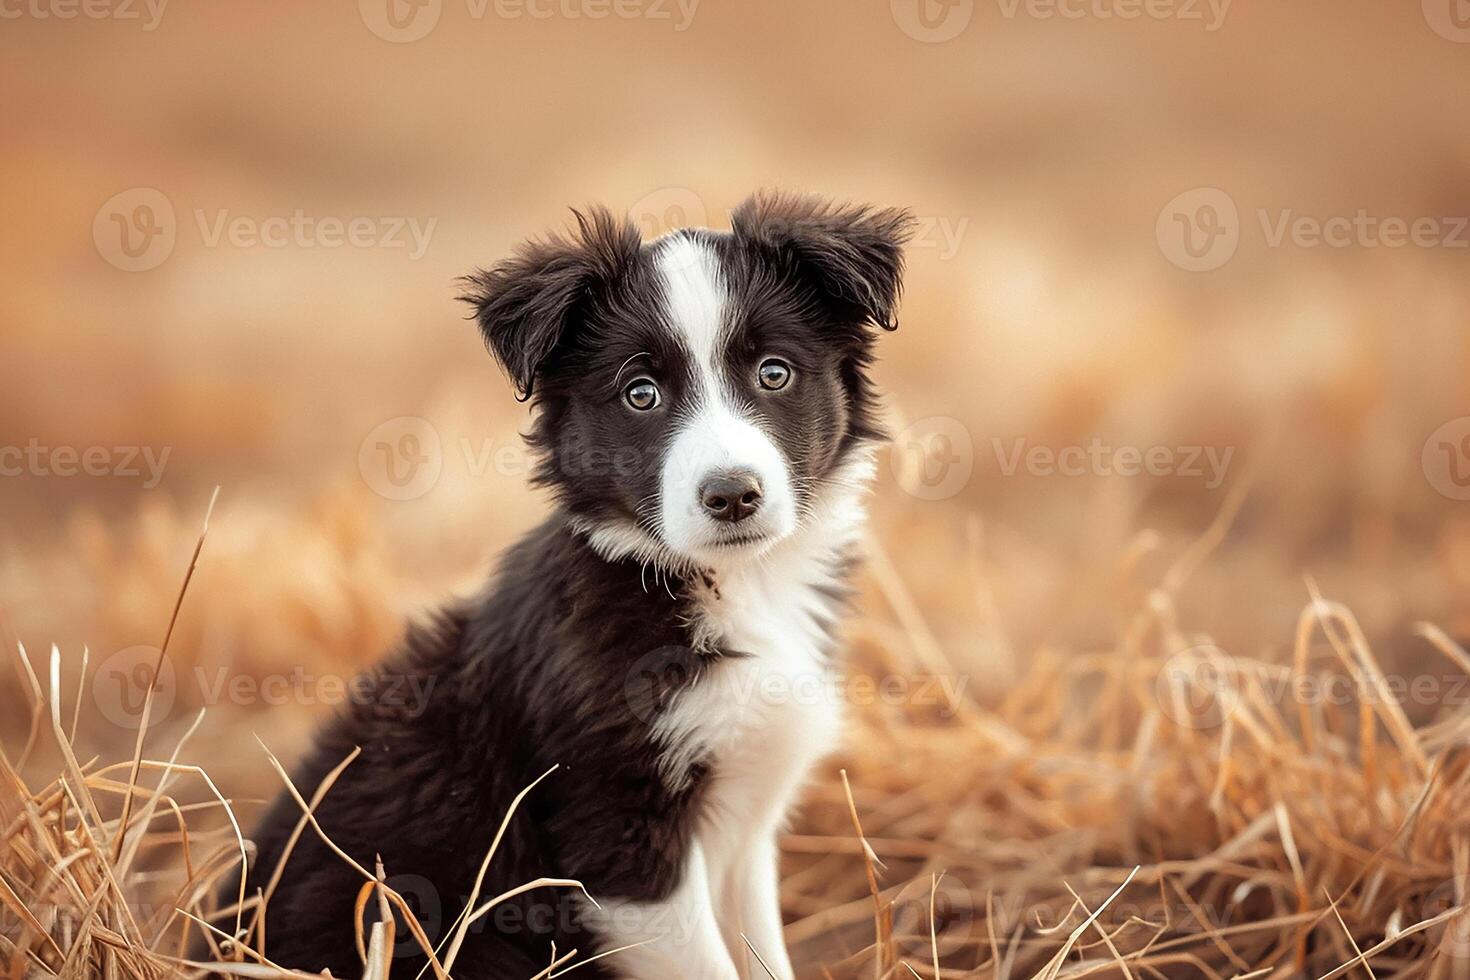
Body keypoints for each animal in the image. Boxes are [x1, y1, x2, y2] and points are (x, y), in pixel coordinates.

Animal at [224, 193, 911, 980]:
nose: (732, 495)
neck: (734, 585)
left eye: (774, 373)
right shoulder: (617, 840)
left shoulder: (746, 829)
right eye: (641, 393)